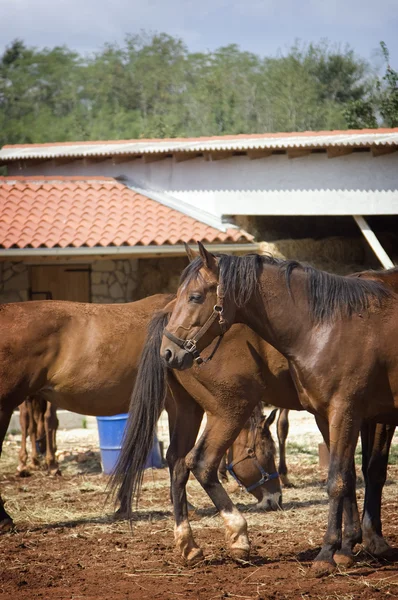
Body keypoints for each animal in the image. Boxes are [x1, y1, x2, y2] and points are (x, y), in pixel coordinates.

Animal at [161, 246, 398, 576]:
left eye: (195, 296)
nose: (169, 352)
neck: (328, 326)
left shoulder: (348, 413)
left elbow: (346, 476)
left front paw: (340, 549)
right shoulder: (342, 415)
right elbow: (351, 475)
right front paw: (344, 547)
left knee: (184, 462)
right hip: (220, 410)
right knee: (194, 462)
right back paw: (228, 538)